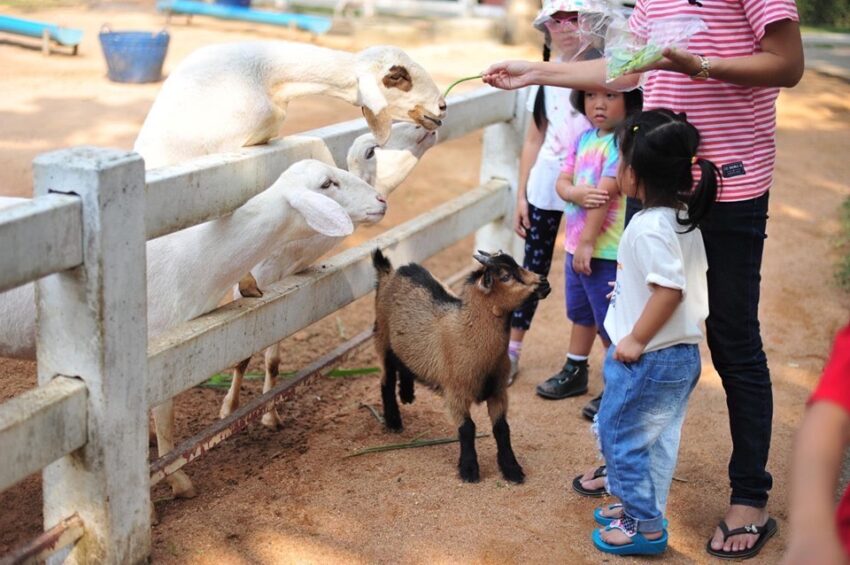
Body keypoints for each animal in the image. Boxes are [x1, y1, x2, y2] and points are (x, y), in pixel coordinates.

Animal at [372, 249, 548, 482]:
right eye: (505, 276)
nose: (544, 282)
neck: (466, 333)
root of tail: (389, 272)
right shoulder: (455, 393)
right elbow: (467, 428)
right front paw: (469, 470)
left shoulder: (498, 391)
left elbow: (502, 428)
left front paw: (511, 469)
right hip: (383, 340)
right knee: (386, 380)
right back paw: (393, 421)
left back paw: (407, 395)